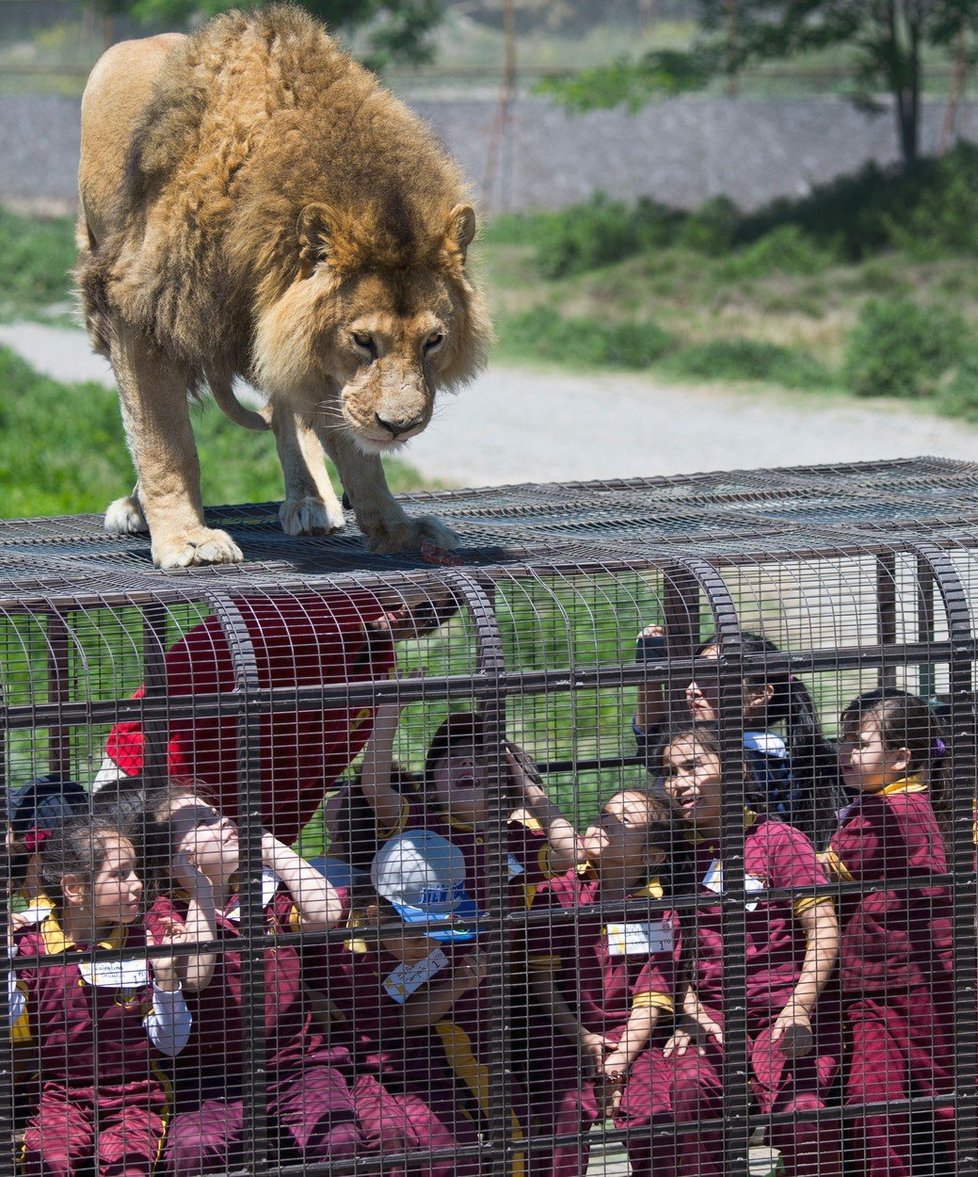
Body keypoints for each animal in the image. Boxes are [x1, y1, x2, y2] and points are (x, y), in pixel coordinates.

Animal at [77, 2, 494, 567]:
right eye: (363, 340)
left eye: (433, 341)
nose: (400, 425)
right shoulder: (138, 311)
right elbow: (164, 440)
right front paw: (187, 538)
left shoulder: (313, 350)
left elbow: (356, 452)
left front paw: (396, 529)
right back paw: (138, 507)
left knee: (289, 414)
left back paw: (312, 500)